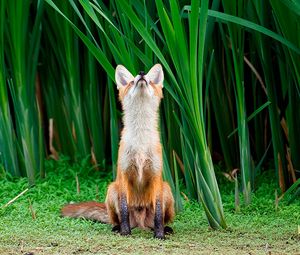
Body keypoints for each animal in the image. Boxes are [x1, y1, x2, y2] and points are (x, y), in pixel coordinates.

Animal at [62, 63, 176, 239]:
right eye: (130, 82)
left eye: (149, 81)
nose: (141, 73)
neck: (140, 142)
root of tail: (140, 222)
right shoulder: (123, 174)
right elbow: (123, 211)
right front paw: (125, 232)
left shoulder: (156, 176)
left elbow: (158, 214)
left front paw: (159, 235)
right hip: (112, 190)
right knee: (117, 218)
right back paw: (117, 228)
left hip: (167, 190)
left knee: (159, 219)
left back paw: (165, 229)